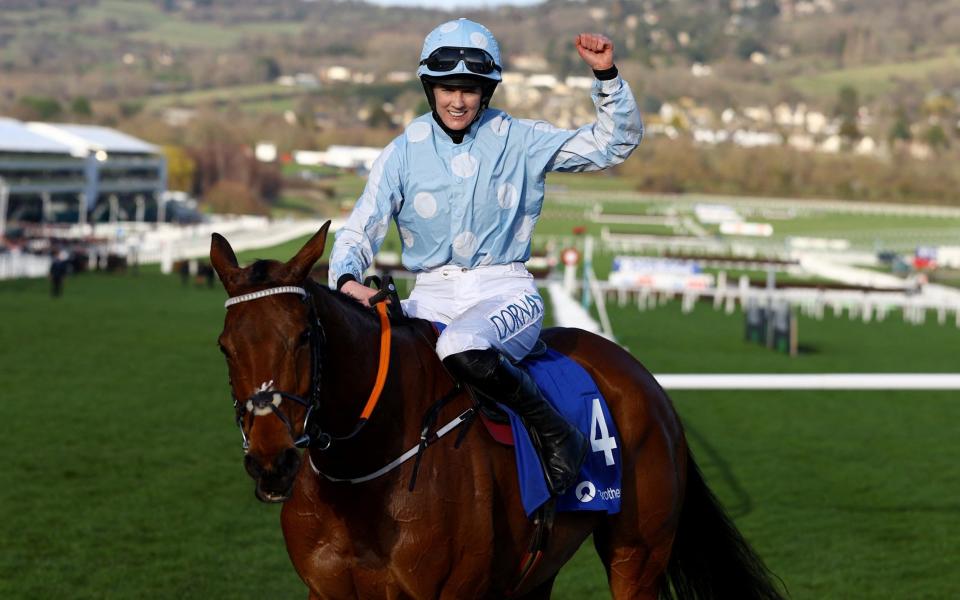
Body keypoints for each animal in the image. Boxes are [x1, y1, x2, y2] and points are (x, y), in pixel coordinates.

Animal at [212, 221, 788, 600]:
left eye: (304, 337)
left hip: (638, 555)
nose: (271, 462)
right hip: (538, 568)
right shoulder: (329, 591)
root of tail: (647, 382)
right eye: (225, 346)